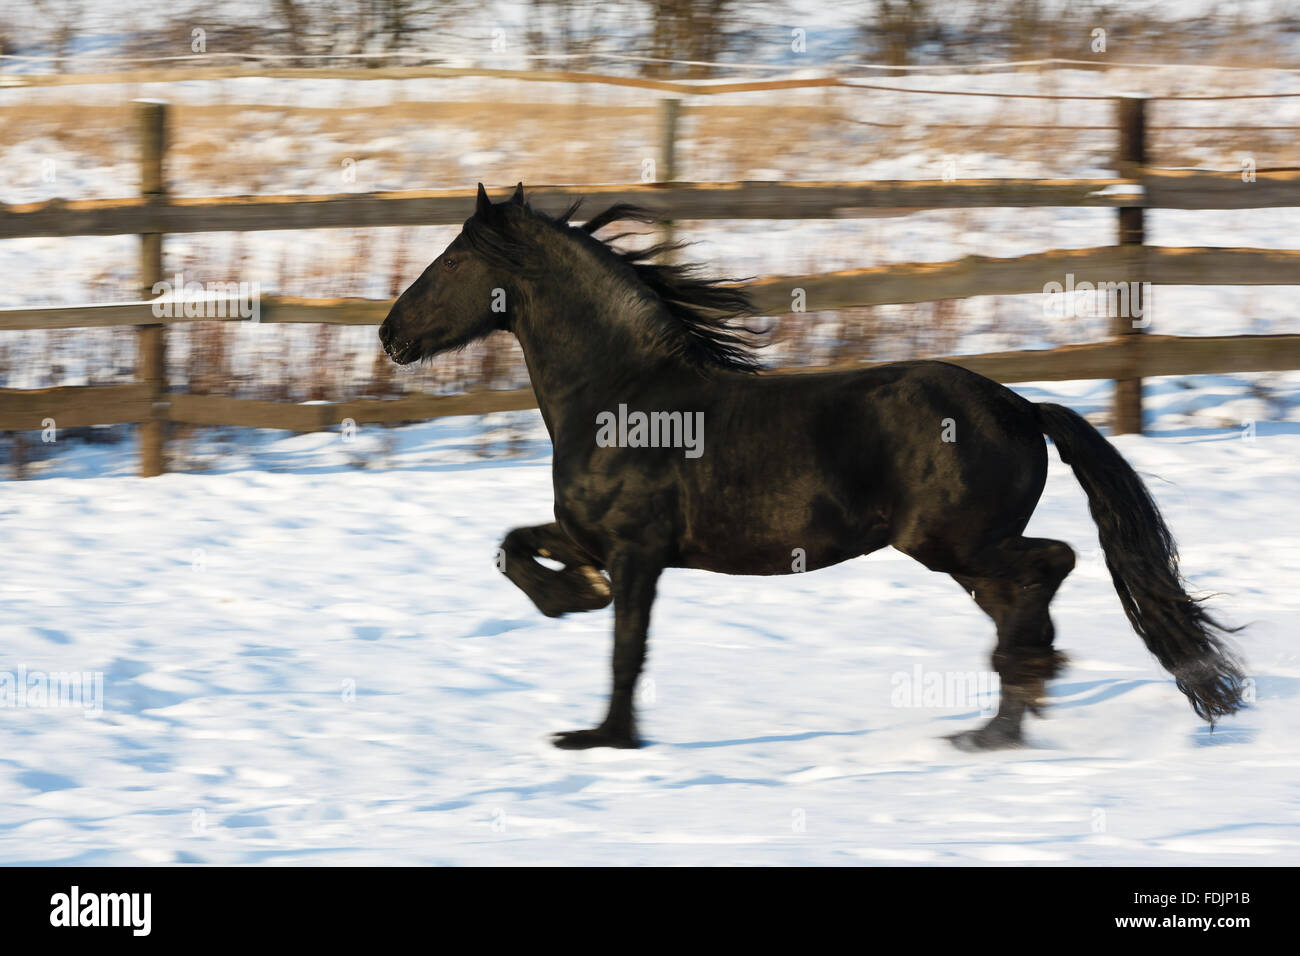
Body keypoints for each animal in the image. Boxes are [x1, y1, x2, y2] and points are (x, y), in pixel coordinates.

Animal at [379, 182, 1246, 751]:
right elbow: (514, 545)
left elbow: (627, 647)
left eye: (449, 261)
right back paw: (997, 723)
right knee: (1021, 599)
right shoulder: (593, 536)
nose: (390, 337)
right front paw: (570, 597)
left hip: (951, 543)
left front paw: (604, 737)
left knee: (1052, 563)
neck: (624, 396)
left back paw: (1019, 692)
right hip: (964, 555)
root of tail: (1024, 407)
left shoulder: (638, 551)